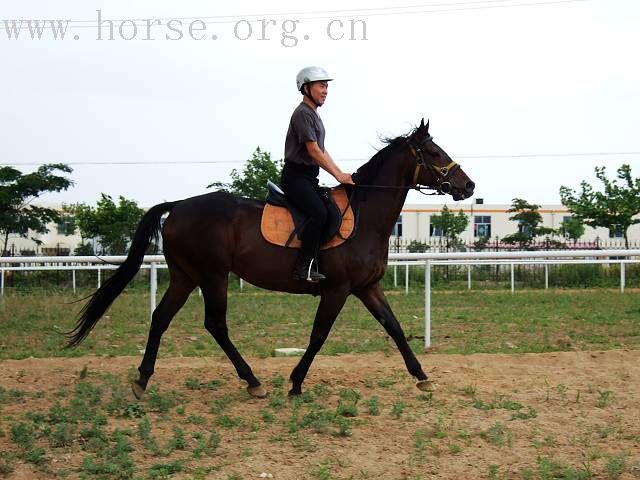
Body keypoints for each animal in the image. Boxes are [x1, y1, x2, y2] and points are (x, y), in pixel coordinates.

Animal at [67, 120, 472, 398]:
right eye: (435, 153)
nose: (468, 186)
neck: (365, 213)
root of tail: (179, 206)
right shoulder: (337, 290)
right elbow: (319, 335)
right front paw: (295, 382)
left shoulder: (367, 287)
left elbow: (395, 327)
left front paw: (422, 377)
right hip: (213, 276)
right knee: (215, 325)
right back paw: (252, 381)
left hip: (185, 276)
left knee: (161, 318)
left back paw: (142, 379)